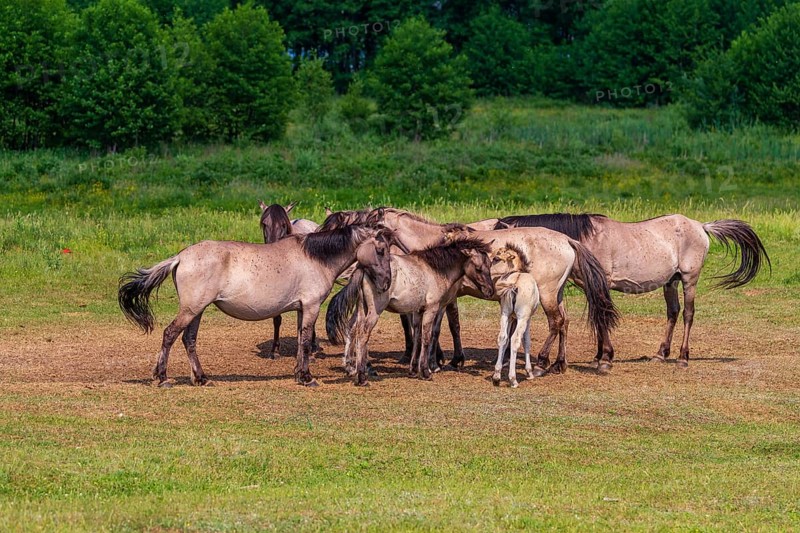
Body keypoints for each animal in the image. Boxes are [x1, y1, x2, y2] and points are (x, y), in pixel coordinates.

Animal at [118, 225, 396, 387]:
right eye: (381, 250)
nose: (386, 282)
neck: (315, 258)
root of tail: (180, 257)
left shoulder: (300, 309)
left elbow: (300, 341)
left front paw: (299, 374)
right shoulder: (311, 306)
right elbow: (306, 341)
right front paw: (307, 378)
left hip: (197, 311)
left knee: (189, 340)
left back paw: (201, 378)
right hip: (191, 310)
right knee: (170, 335)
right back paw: (163, 378)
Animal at [326, 237, 496, 386]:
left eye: (490, 265)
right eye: (479, 268)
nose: (490, 291)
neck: (434, 269)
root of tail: (362, 267)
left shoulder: (418, 311)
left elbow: (418, 338)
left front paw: (413, 370)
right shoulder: (431, 309)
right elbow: (426, 338)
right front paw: (426, 372)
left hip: (362, 309)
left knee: (354, 330)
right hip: (374, 311)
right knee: (363, 335)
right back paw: (362, 377)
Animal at [489, 246, 540, 388]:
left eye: (496, 258)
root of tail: (515, 283)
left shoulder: (511, 317)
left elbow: (505, 339)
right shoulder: (527, 319)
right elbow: (526, 341)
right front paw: (529, 372)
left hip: (505, 314)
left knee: (502, 337)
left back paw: (496, 377)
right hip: (522, 318)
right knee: (515, 340)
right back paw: (513, 379)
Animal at [492, 213, 770, 367]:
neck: (582, 239)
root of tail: (701, 226)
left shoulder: (600, 284)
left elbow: (602, 316)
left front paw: (605, 358)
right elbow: (599, 318)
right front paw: (600, 355)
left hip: (689, 279)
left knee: (688, 314)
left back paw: (683, 357)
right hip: (671, 281)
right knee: (673, 312)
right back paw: (661, 354)